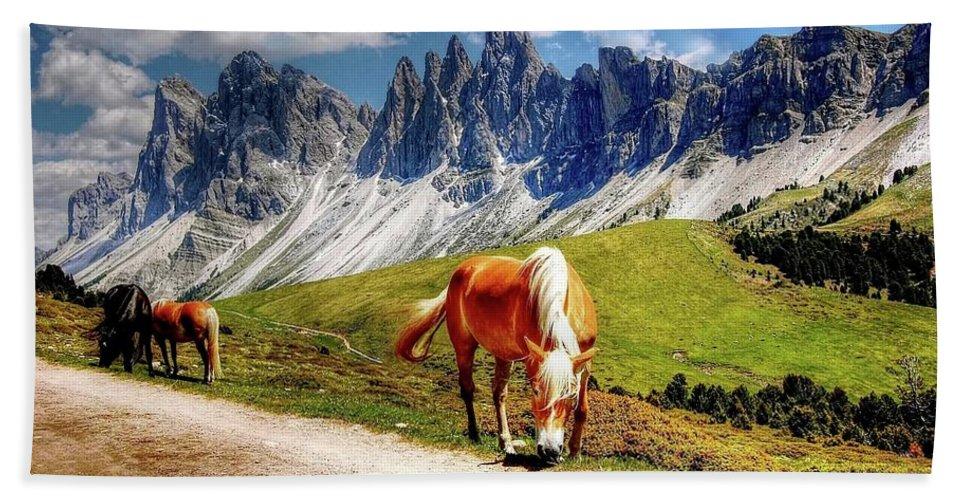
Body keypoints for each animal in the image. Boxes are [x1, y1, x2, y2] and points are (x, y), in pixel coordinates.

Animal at [395, 247, 598, 465]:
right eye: (535, 391)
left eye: (571, 395)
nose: (549, 451)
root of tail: (462, 269)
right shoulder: (532, 361)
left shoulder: (585, 364)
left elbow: (582, 409)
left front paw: (575, 452)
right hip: (464, 346)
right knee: (467, 389)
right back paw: (475, 434)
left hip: (503, 354)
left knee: (498, 393)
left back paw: (505, 443)